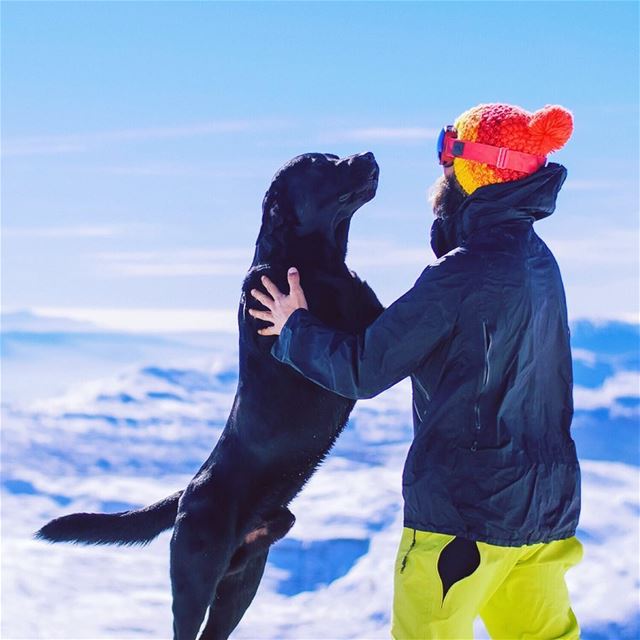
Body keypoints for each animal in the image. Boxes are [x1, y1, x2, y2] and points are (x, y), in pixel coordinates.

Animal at [37, 151, 384, 640]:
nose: (368, 155)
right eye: (320, 163)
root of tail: (187, 492)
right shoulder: (346, 332)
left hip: (244, 581)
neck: (311, 260)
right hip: (195, 577)